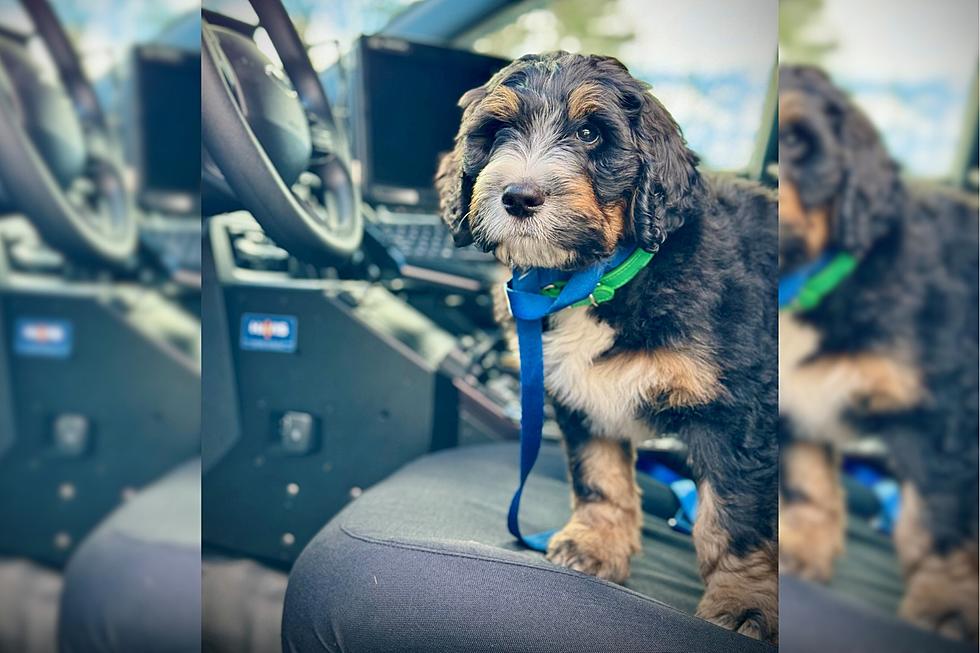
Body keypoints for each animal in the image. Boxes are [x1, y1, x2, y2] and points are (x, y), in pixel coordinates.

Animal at [438, 52, 780, 640]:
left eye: (590, 133)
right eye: (499, 130)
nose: (519, 196)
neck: (595, 279)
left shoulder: (736, 412)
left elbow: (736, 514)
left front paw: (744, 602)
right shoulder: (579, 393)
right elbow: (600, 476)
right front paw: (595, 545)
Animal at [776, 62, 976, 640]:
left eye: (798, 141)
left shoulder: (940, 416)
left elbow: (940, 517)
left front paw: (945, 604)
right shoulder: (792, 401)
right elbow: (806, 482)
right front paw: (800, 551)